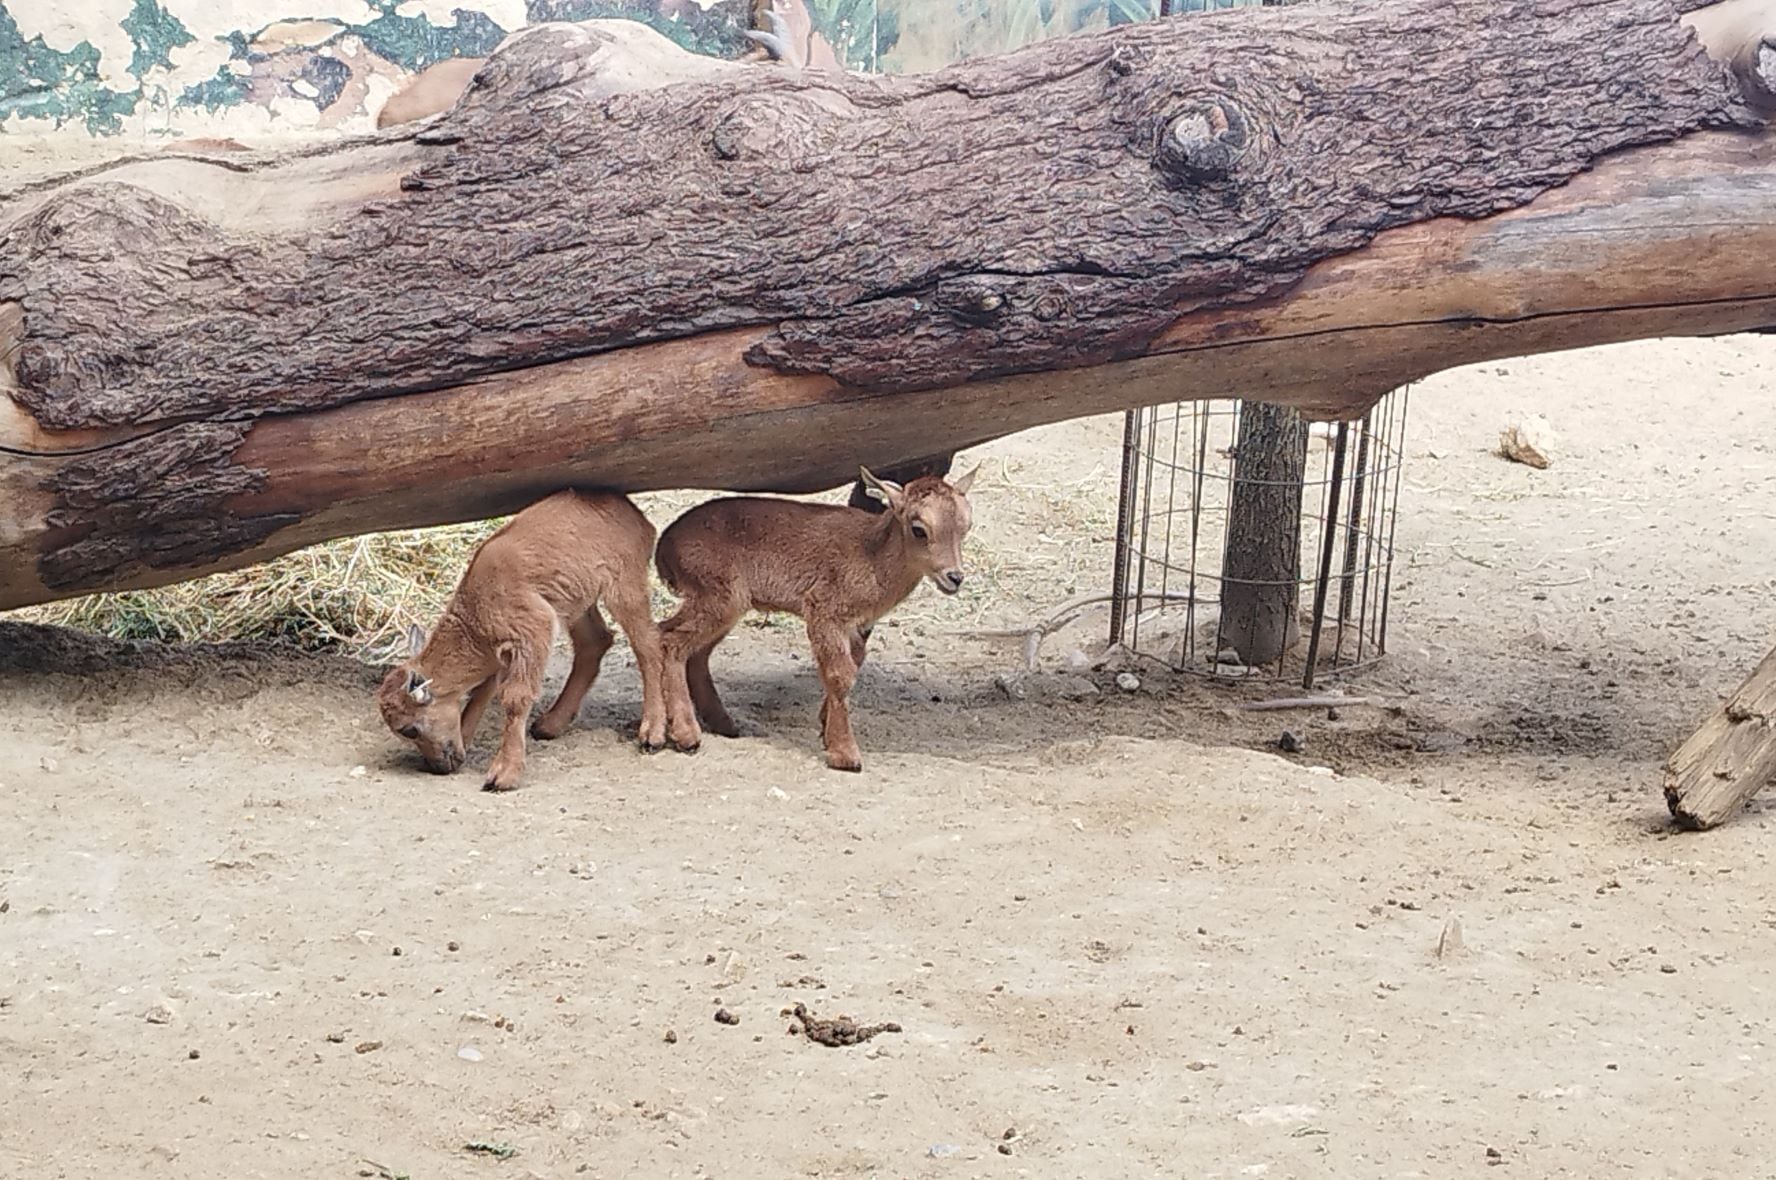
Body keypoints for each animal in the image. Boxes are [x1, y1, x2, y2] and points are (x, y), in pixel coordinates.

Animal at [376, 486, 678, 792]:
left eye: (409, 729)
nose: (438, 766)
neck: (475, 616)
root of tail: (639, 519)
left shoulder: (533, 630)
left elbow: (515, 697)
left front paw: (502, 775)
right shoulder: (505, 651)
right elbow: (482, 691)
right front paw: (467, 737)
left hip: (624, 587)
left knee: (648, 645)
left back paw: (651, 733)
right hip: (575, 602)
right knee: (595, 642)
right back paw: (549, 725)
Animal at [660, 469, 980, 774]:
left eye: (966, 526)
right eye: (919, 529)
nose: (954, 577)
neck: (872, 555)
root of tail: (666, 545)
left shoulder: (854, 627)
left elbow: (851, 666)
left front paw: (826, 730)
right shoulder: (824, 611)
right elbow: (840, 675)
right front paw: (845, 754)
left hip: (725, 606)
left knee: (692, 651)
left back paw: (722, 724)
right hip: (717, 598)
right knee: (670, 641)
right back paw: (686, 735)